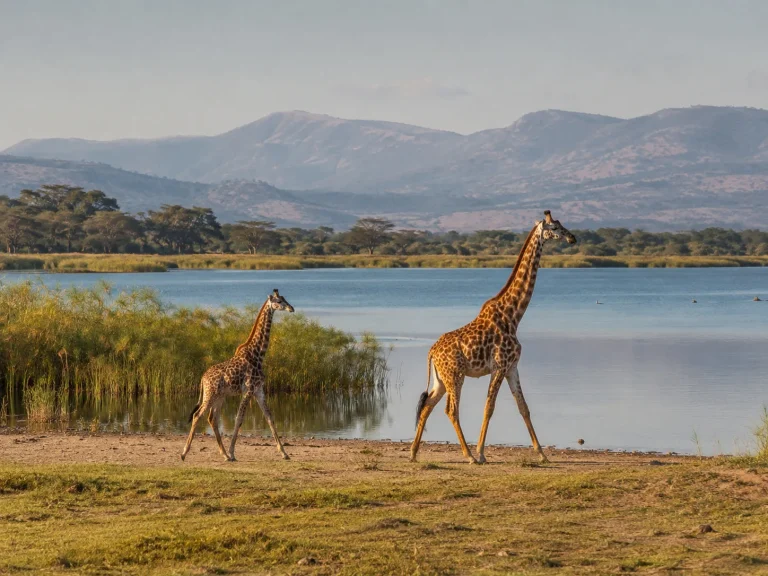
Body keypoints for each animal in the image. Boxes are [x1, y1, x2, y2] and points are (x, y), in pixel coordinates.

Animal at [181, 289, 294, 462]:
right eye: (279, 301)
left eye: (284, 298)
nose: (291, 308)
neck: (258, 354)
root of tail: (202, 378)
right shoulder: (248, 390)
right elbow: (239, 419)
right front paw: (233, 451)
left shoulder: (259, 390)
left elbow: (270, 418)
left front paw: (284, 453)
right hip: (210, 394)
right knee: (197, 415)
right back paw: (184, 453)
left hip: (220, 396)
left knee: (212, 419)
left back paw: (224, 455)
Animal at [411, 211, 576, 464]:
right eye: (556, 228)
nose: (572, 238)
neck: (513, 315)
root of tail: (432, 352)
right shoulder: (499, 366)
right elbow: (489, 407)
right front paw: (481, 453)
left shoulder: (512, 367)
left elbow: (523, 407)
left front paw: (542, 454)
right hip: (455, 376)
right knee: (451, 410)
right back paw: (469, 455)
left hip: (441, 380)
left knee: (427, 405)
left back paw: (413, 452)